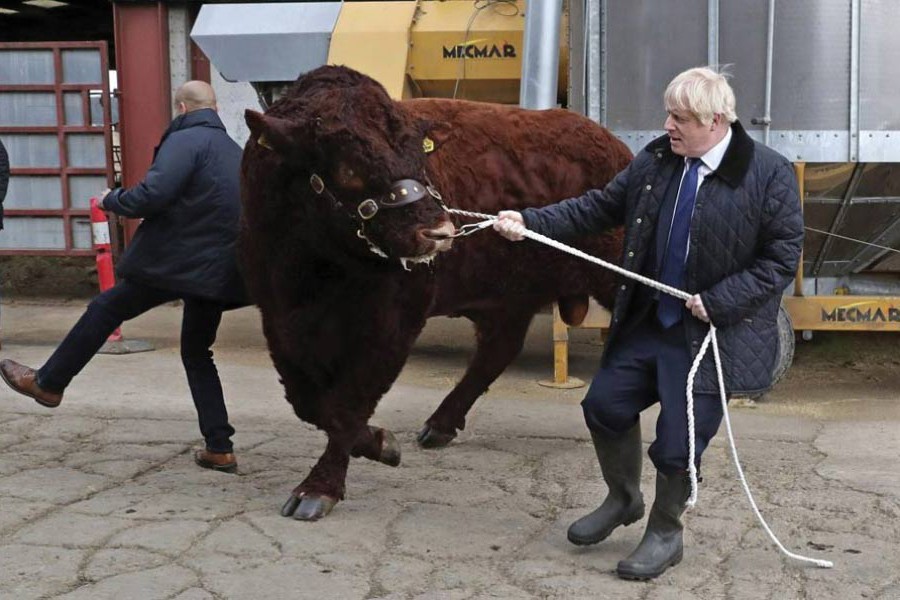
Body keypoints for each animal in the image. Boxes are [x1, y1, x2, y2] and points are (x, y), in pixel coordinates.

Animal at [243, 65, 628, 520]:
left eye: (420, 156)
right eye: (348, 167)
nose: (440, 232)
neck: (315, 267)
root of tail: (611, 144)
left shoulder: (394, 322)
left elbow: (349, 402)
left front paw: (321, 487)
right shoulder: (278, 318)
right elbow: (310, 401)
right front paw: (377, 442)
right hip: (509, 297)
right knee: (497, 351)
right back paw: (440, 425)